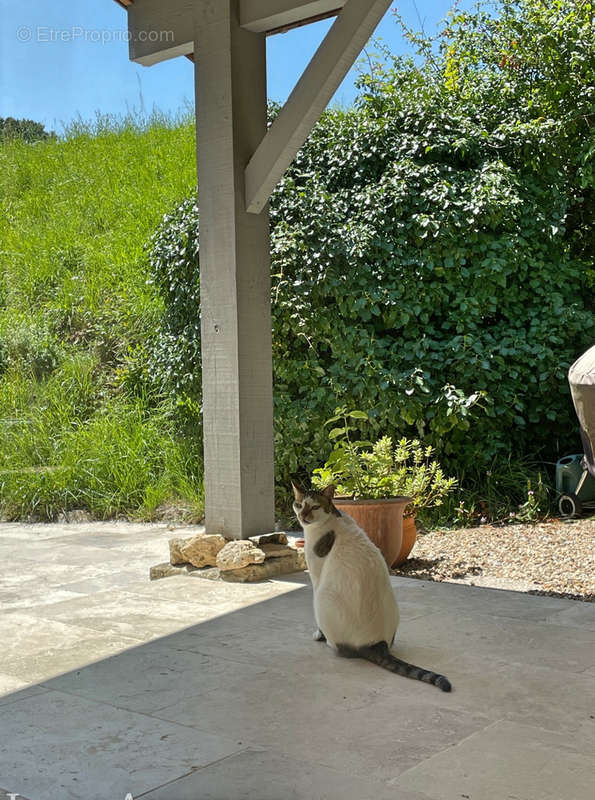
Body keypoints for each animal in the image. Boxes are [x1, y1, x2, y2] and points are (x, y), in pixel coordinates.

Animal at [292, 478, 452, 692]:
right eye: (299, 504)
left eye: (315, 506)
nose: (302, 515)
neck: (333, 518)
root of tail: (377, 643)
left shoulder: (316, 577)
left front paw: (318, 635)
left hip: (321, 597)